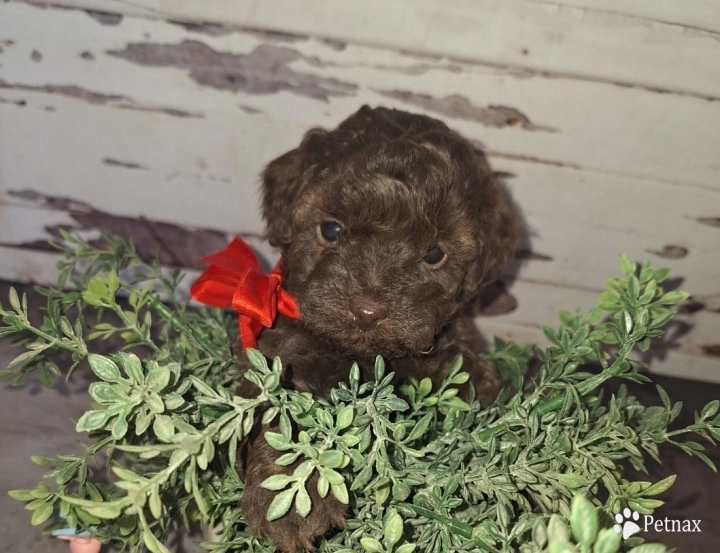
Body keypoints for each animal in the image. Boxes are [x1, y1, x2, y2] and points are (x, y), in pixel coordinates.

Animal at [239, 105, 516, 548]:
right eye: (331, 230)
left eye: (434, 254)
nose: (368, 310)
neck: (370, 359)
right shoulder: (285, 352)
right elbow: (285, 412)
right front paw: (292, 495)